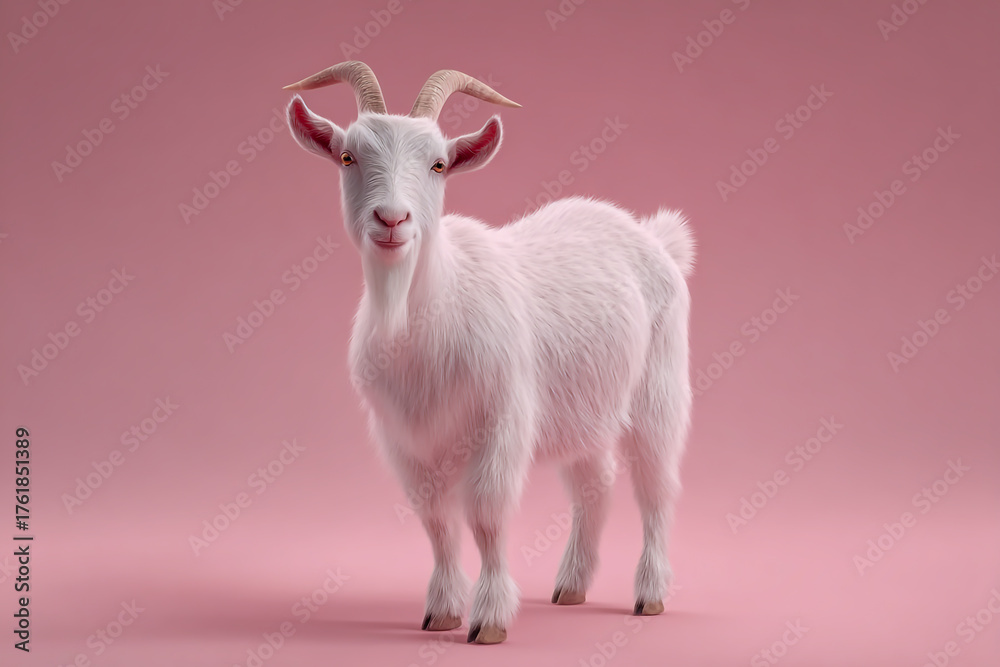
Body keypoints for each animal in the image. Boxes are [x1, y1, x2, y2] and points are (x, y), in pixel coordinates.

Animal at [284, 61, 694, 645]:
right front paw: (441, 611)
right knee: (594, 485)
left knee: (657, 487)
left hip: (658, 387)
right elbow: (435, 520)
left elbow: (486, 513)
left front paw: (491, 619)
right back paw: (571, 585)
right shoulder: (404, 435)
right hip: (583, 406)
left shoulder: (503, 416)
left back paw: (650, 594)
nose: (392, 219)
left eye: (438, 164)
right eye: (348, 157)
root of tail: (655, 238)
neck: (422, 317)